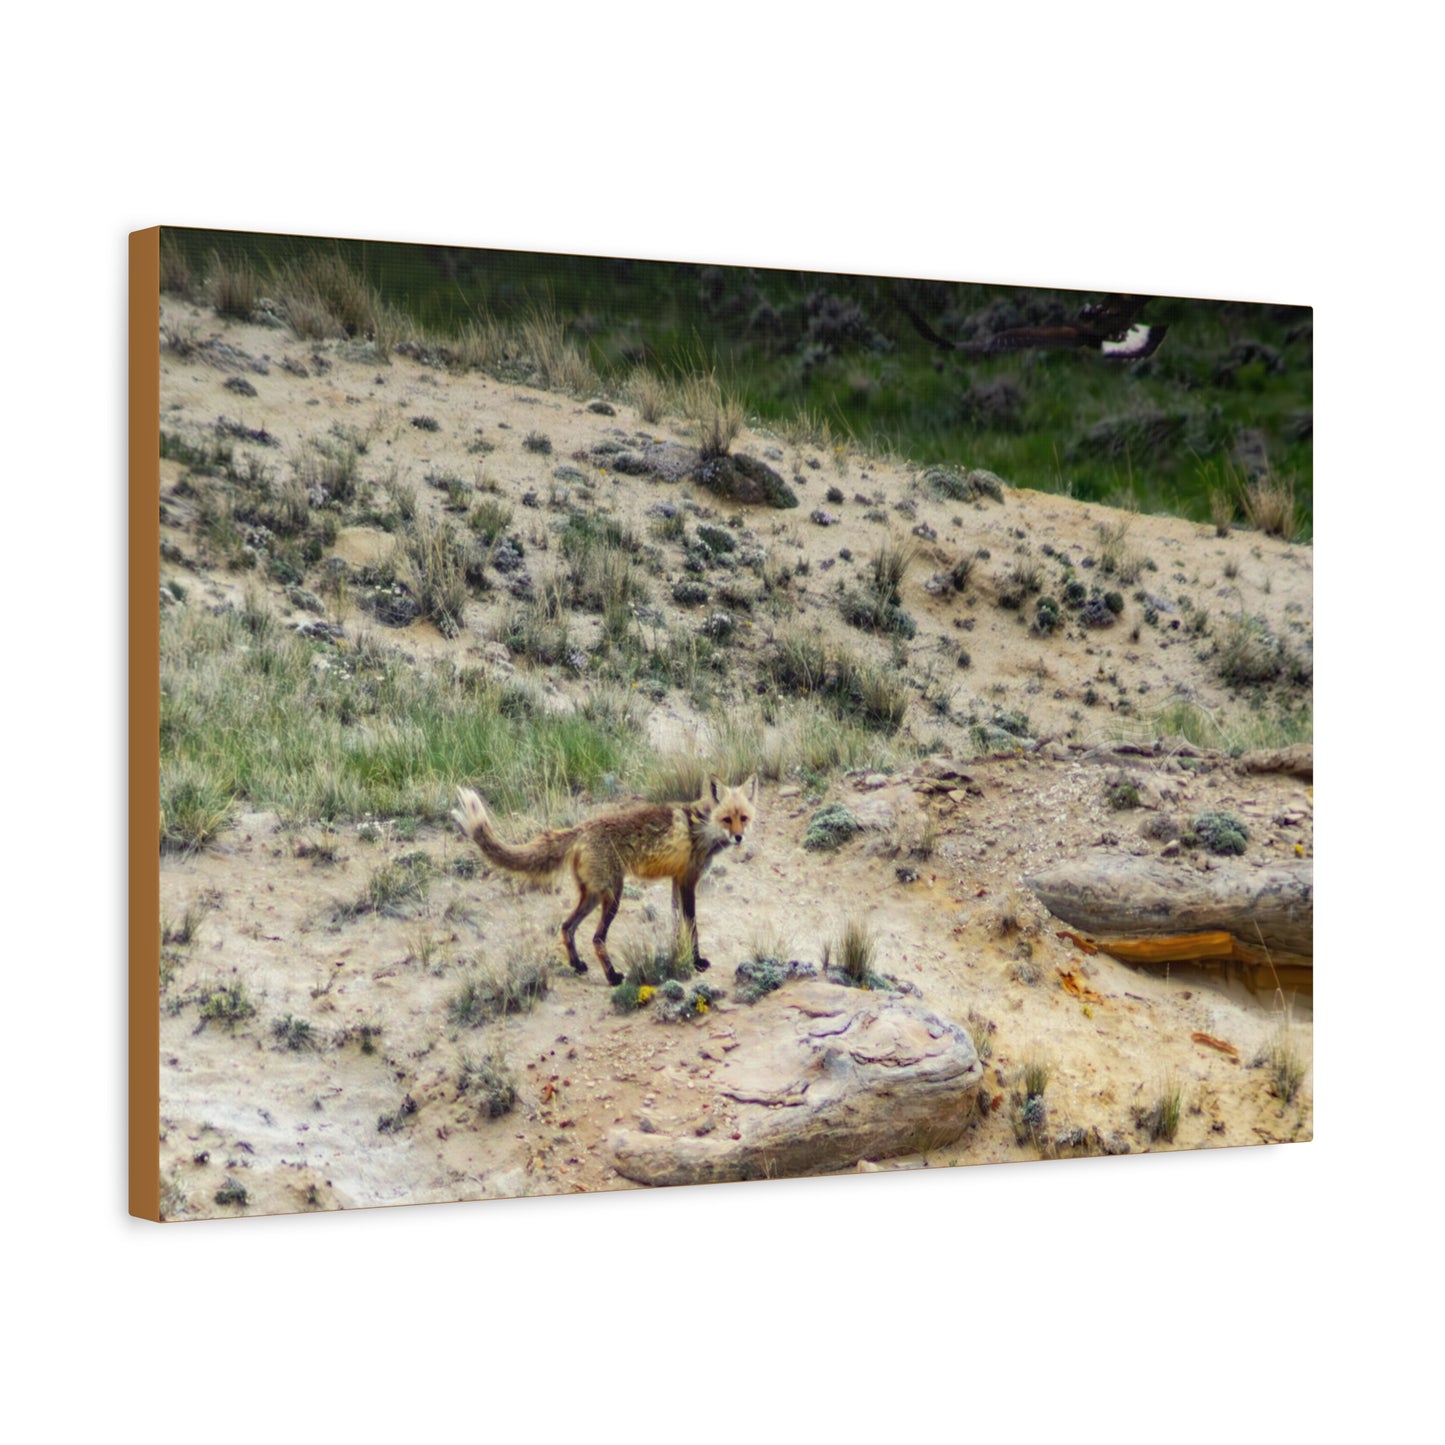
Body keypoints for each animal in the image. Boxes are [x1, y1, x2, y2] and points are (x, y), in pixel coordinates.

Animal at [451, 777, 757, 986]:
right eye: (727, 819)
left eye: (743, 818)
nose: (739, 837)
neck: (702, 827)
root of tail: (582, 828)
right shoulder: (687, 881)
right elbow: (691, 925)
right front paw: (696, 961)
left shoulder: (676, 880)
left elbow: (676, 924)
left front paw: (677, 956)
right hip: (613, 896)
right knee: (597, 938)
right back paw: (612, 977)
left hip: (593, 896)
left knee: (567, 926)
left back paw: (577, 965)